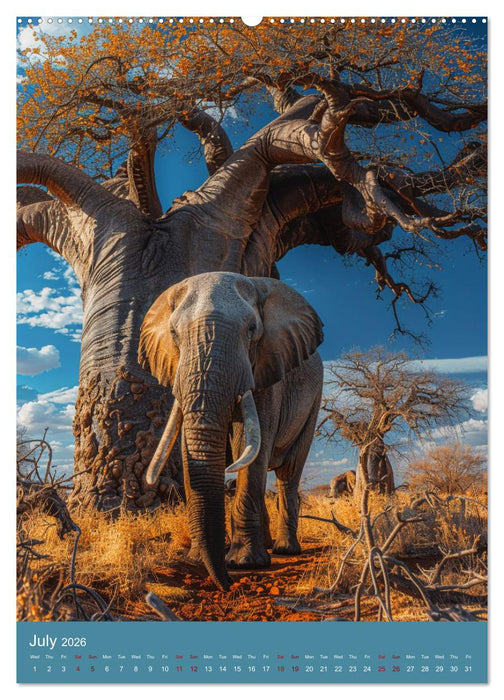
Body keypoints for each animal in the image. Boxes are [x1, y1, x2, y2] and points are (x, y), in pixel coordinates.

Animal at [138, 271, 324, 590]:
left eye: (251, 329)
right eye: (174, 333)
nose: (226, 585)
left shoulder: (267, 372)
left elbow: (249, 450)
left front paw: (245, 563)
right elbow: (189, 451)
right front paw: (196, 558)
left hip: (313, 401)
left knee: (288, 472)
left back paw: (285, 549)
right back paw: (268, 546)